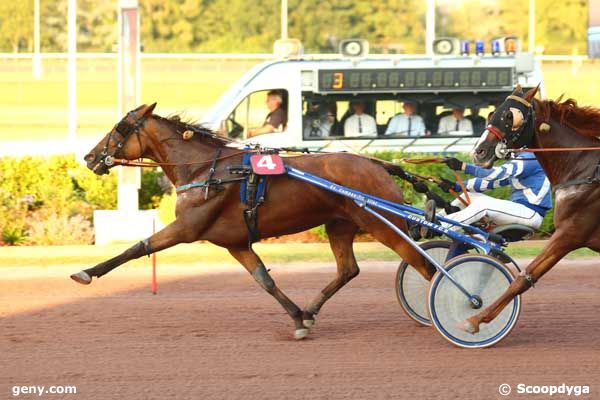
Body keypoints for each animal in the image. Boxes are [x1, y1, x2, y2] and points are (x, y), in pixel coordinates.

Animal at [72, 104, 434, 340]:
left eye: (120, 128)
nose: (89, 157)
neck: (207, 171)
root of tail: (379, 164)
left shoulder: (188, 228)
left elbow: (137, 247)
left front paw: (85, 273)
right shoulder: (235, 242)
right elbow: (264, 280)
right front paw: (299, 319)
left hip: (384, 224)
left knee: (425, 266)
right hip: (340, 224)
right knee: (348, 270)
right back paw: (312, 309)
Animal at [464, 86, 600, 334]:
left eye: (510, 116)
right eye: (492, 114)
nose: (479, 152)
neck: (586, 171)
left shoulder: (569, 233)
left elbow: (525, 277)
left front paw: (475, 319)